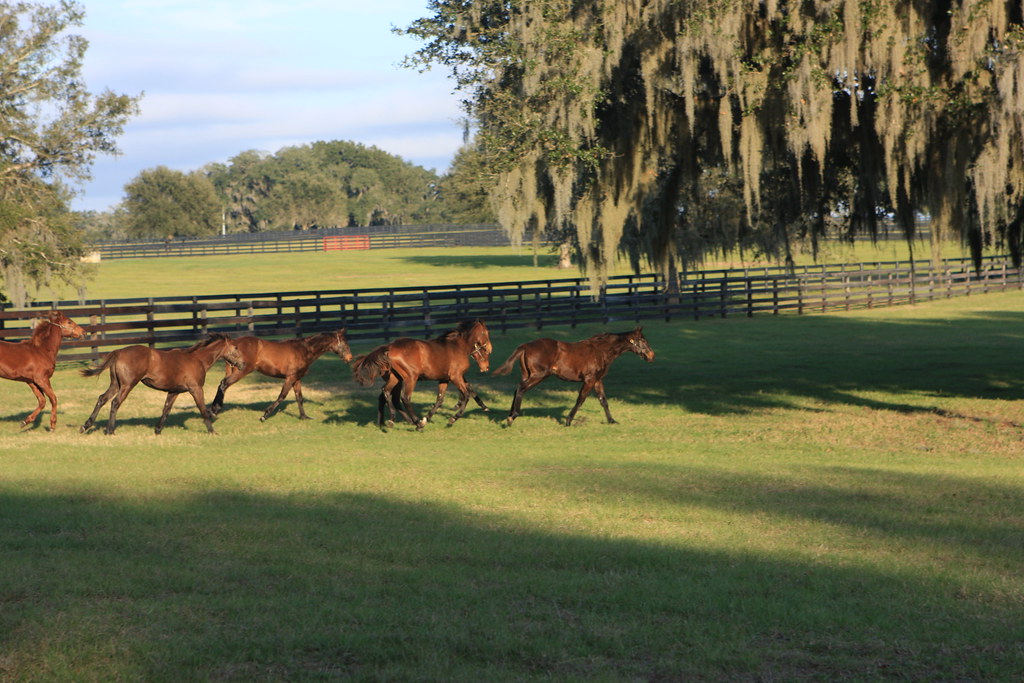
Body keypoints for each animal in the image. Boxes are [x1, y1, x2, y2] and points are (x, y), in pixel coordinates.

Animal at [79, 333, 244, 435]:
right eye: (235, 348)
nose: (242, 364)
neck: (198, 360)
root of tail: (118, 352)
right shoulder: (196, 389)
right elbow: (202, 409)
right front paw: (212, 431)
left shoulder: (174, 391)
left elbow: (166, 409)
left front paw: (157, 430)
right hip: (127, 385)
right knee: (115, 402)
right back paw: (110, 431)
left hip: (116, 384)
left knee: (102, 399)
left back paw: (85, 426)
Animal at [208, 329, 352, 421]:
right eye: (345, 343)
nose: (350, 358)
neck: (303, 350)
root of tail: (232, 343)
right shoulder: (290, 378)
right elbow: (282, 396)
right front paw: (265, 415)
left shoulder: (297, 379)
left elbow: (299, 397)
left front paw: (304, 417)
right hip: (241, 371)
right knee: (224, 384)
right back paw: (215, 410)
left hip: (232, 370)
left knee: (223, 385)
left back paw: (214, 409)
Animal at [351, 319, 492, 430]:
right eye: (486, 333)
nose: (490, 349)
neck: (458, 346)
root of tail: (389, 347)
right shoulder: (455, 377)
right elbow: (466, 394)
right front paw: (452, 418)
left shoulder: (445, 379)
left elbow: (440, 399)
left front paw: (427, 417)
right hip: (410, 377)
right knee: (404, 398)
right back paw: (416, 423)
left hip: (395, 378)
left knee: (386, 392)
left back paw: (387, 421)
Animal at [493, 327, 655, 426]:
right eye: (643, 340)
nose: (651, 356)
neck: (601, 350)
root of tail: (525, 346)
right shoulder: (589, 380)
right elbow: (580, 399)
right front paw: (568, 421)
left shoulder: (597, 380)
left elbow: (603, 401)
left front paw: (612, 420)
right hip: (539, 375)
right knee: (521, 388)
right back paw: (512, 417)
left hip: (528, 375)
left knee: (517, 389)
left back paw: (509, 415)